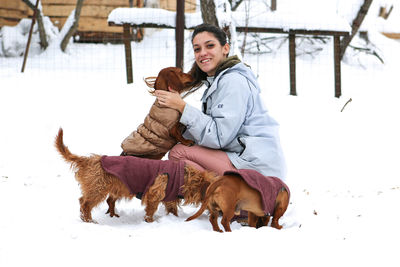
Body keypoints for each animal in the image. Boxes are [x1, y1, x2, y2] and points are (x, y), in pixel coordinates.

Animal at [55, 129, 216, 225]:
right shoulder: (154, 194)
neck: (183, 176)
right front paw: (150, 222)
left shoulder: (169, 197)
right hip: (97, 190)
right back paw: (89, 221)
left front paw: (174, 219)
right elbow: (151, 210)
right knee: (85, 204)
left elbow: (172, 209)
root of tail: (88, 160)